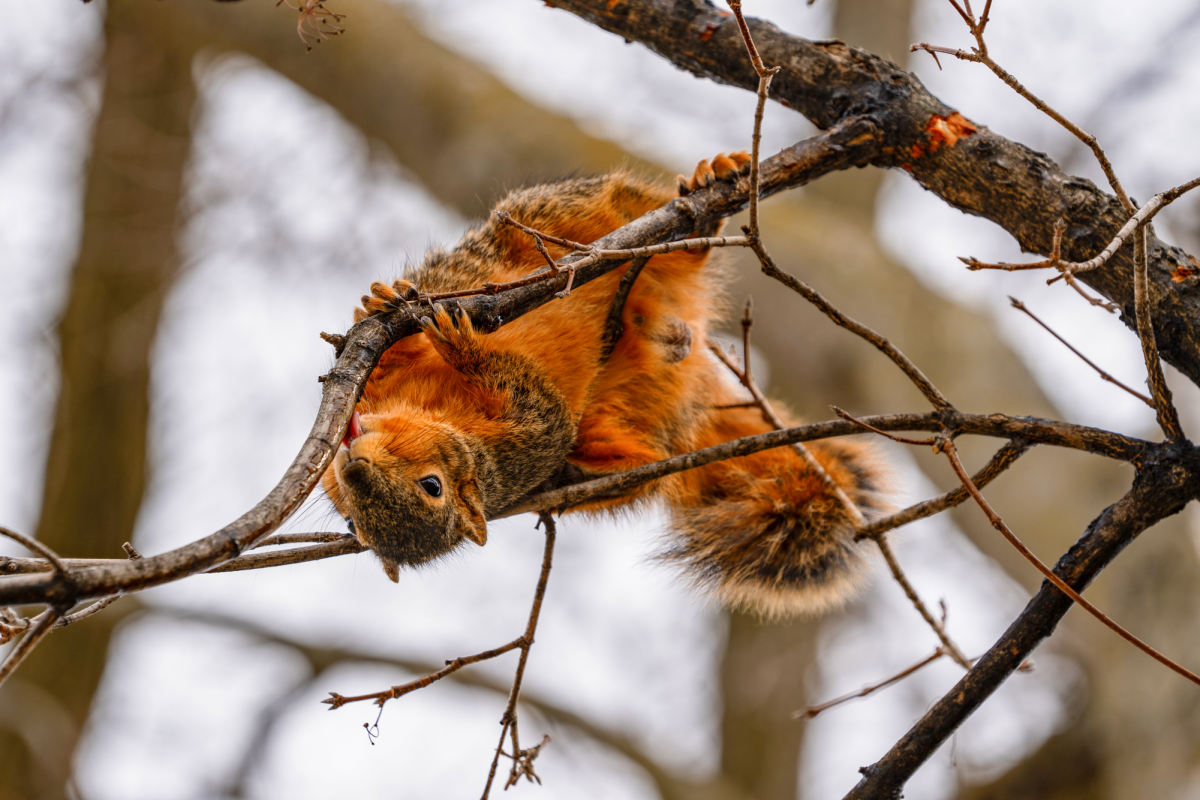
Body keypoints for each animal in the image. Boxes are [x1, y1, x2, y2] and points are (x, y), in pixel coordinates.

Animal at [320, 152, 889, 618]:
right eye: (357, 523)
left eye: (432, 486)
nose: (354, 465)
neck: (430, 407)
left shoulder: (520, 433)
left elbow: (498, 383)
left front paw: (399, 315)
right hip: (630, 417)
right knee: (641, 466)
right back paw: (604, 463)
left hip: (556, 220)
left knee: (628, 215)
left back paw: (707, 190)